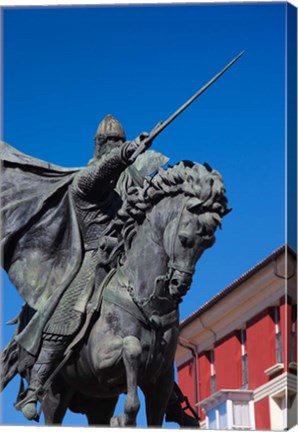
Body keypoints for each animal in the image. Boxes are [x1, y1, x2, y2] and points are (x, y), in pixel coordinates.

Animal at [3, 160, 229, 426]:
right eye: (184, 239)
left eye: (209, 243)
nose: (179, 284)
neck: (148, 304)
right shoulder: (102, 362)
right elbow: (132, 350)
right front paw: (126, 417)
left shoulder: (161, 380)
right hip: (55, 394)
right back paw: (31, 399)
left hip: (99, 401)